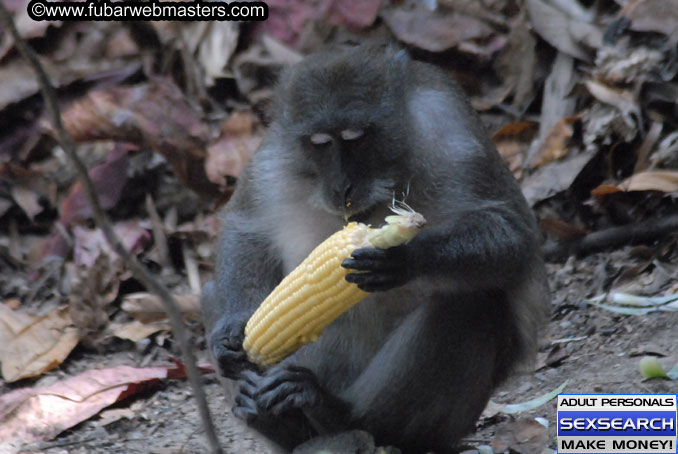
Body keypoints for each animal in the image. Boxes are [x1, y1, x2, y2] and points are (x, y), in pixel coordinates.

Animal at [202, 43, 552, 454]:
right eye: (320, 143)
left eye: (355, 137)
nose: (342, 187)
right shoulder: (273, 155)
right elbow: (246, 228)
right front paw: (232, 332)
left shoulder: (450, 134)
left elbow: (512, 234)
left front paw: (405, 258)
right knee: (212, 290)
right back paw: (282, 424)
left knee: (470, 304)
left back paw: (337, 413)